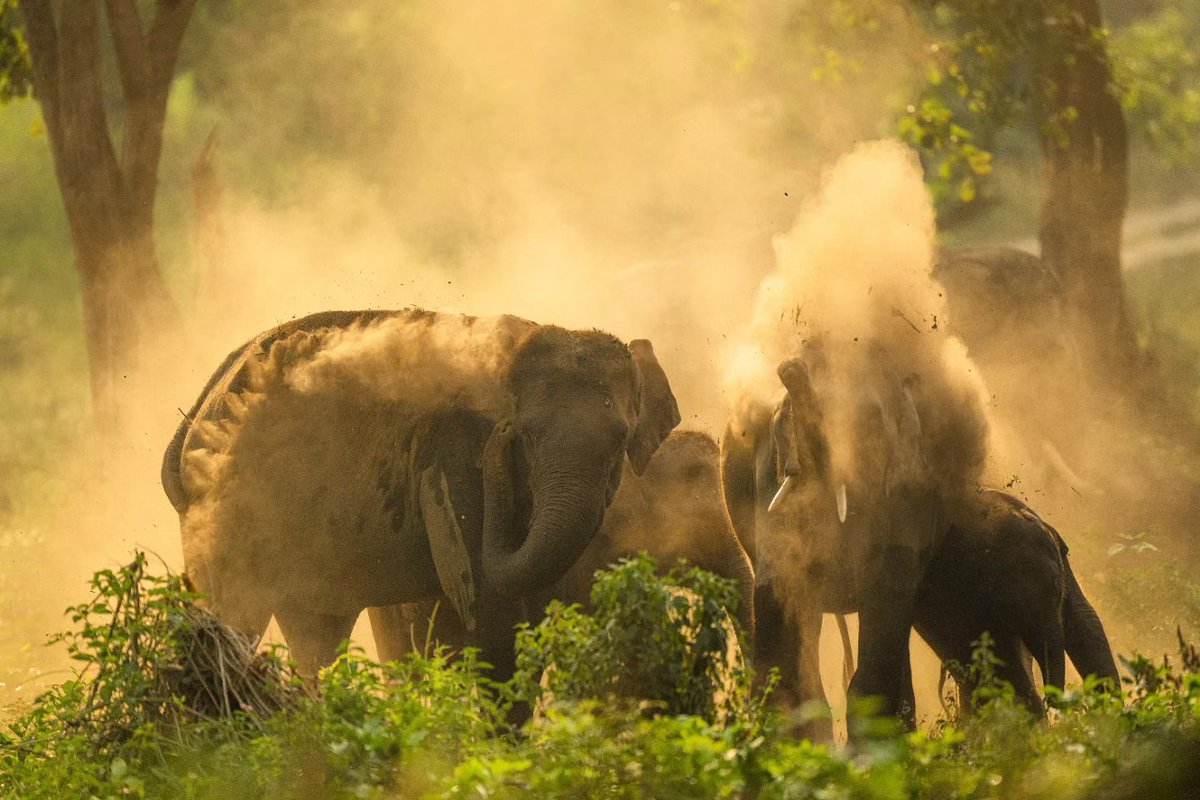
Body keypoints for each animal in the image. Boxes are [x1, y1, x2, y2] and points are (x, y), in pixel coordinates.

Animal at [162, 308, 681, 676]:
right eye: (523, 437)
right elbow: (486, 610)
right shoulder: (454, 464)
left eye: (620, 438)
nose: (501, 437)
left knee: (315, 630)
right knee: (237, 611)